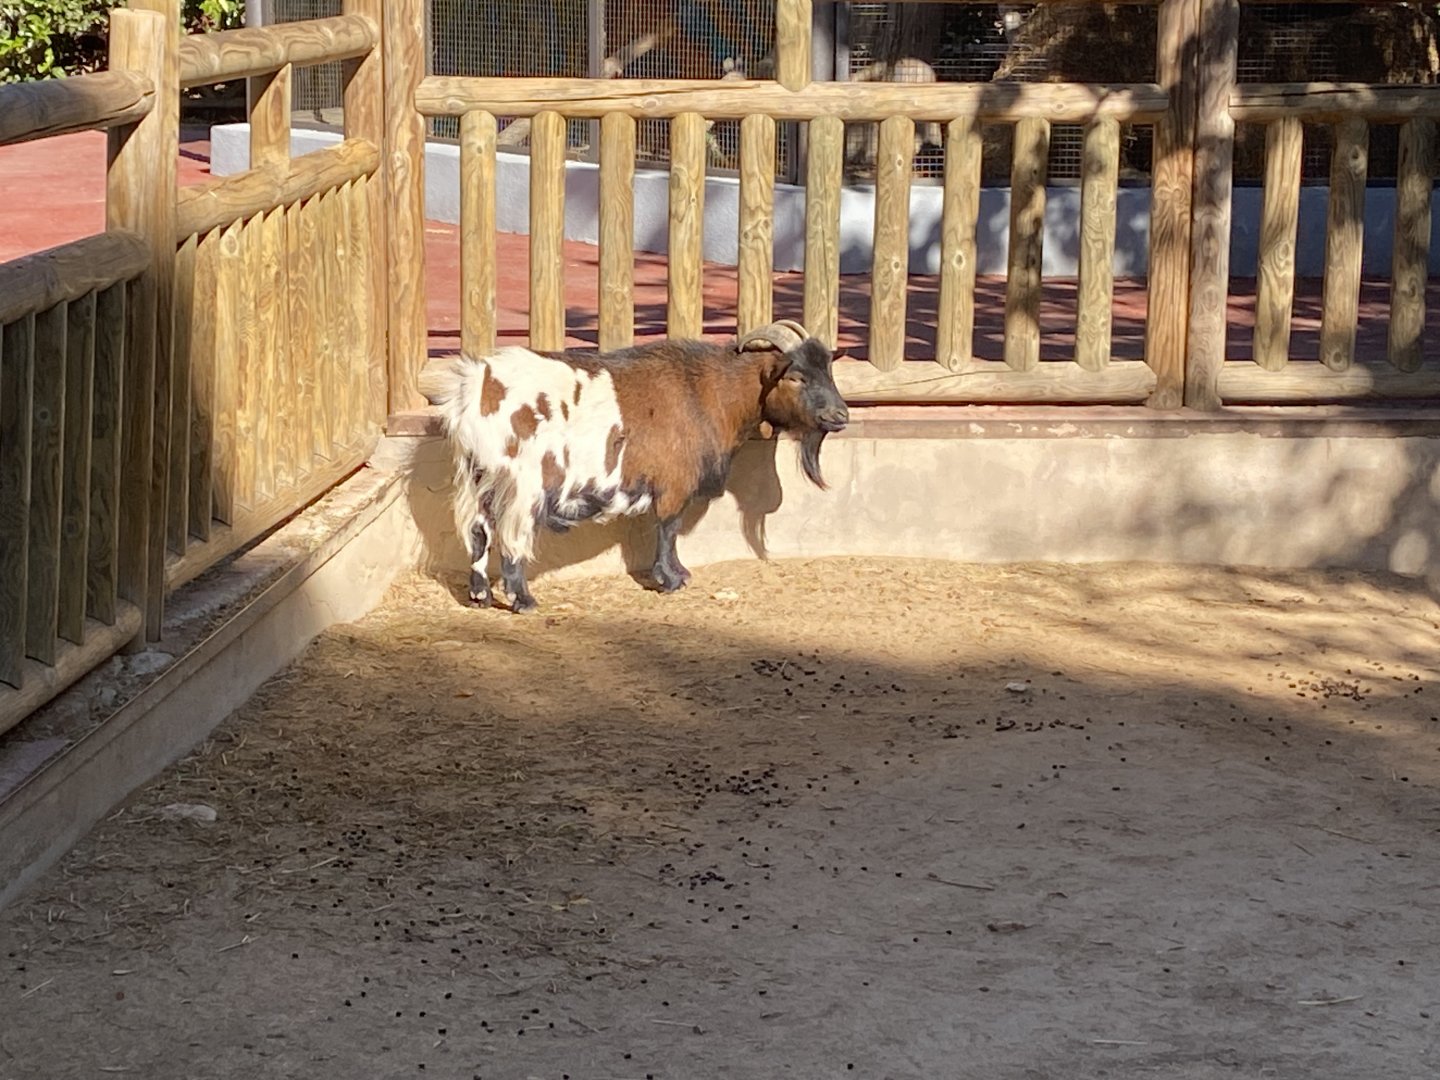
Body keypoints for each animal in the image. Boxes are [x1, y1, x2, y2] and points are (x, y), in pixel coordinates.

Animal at [418, 321, 850, 613]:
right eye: (796, 376)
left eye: (828, 371)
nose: (840, 416)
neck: (707, 391)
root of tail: (474, 386)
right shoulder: (675, 483)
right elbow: (668, 528)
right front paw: (672, 578)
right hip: (522, 482)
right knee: (511, 536)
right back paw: (523, 599)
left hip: (479, 475)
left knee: (478, 530)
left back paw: (479, 594)